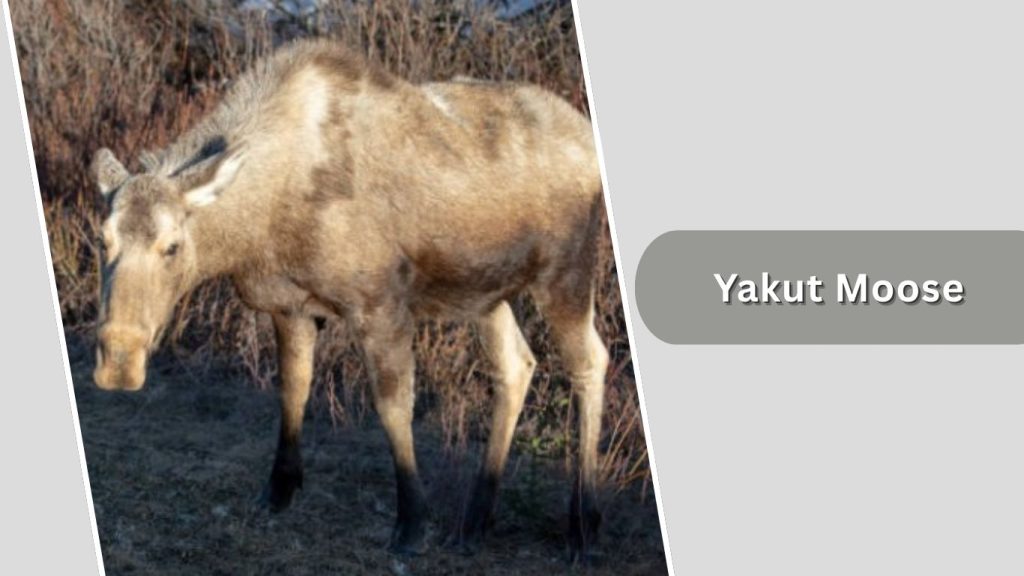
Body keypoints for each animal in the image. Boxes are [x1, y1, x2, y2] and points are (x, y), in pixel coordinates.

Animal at [89, 39, 609, 560]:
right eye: (103, 239)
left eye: (172, 246)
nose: (119, 361)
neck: (257, 231)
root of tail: (585, 137)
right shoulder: (291, 306)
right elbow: (293, 388)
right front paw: (279, 489)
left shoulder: (380, 305)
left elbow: (394, 408)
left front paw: (411, 523)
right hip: (485, 291)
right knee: (516, 366)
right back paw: (475, 519)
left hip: (566, 269)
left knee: (590, 361)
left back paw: (583, 525)